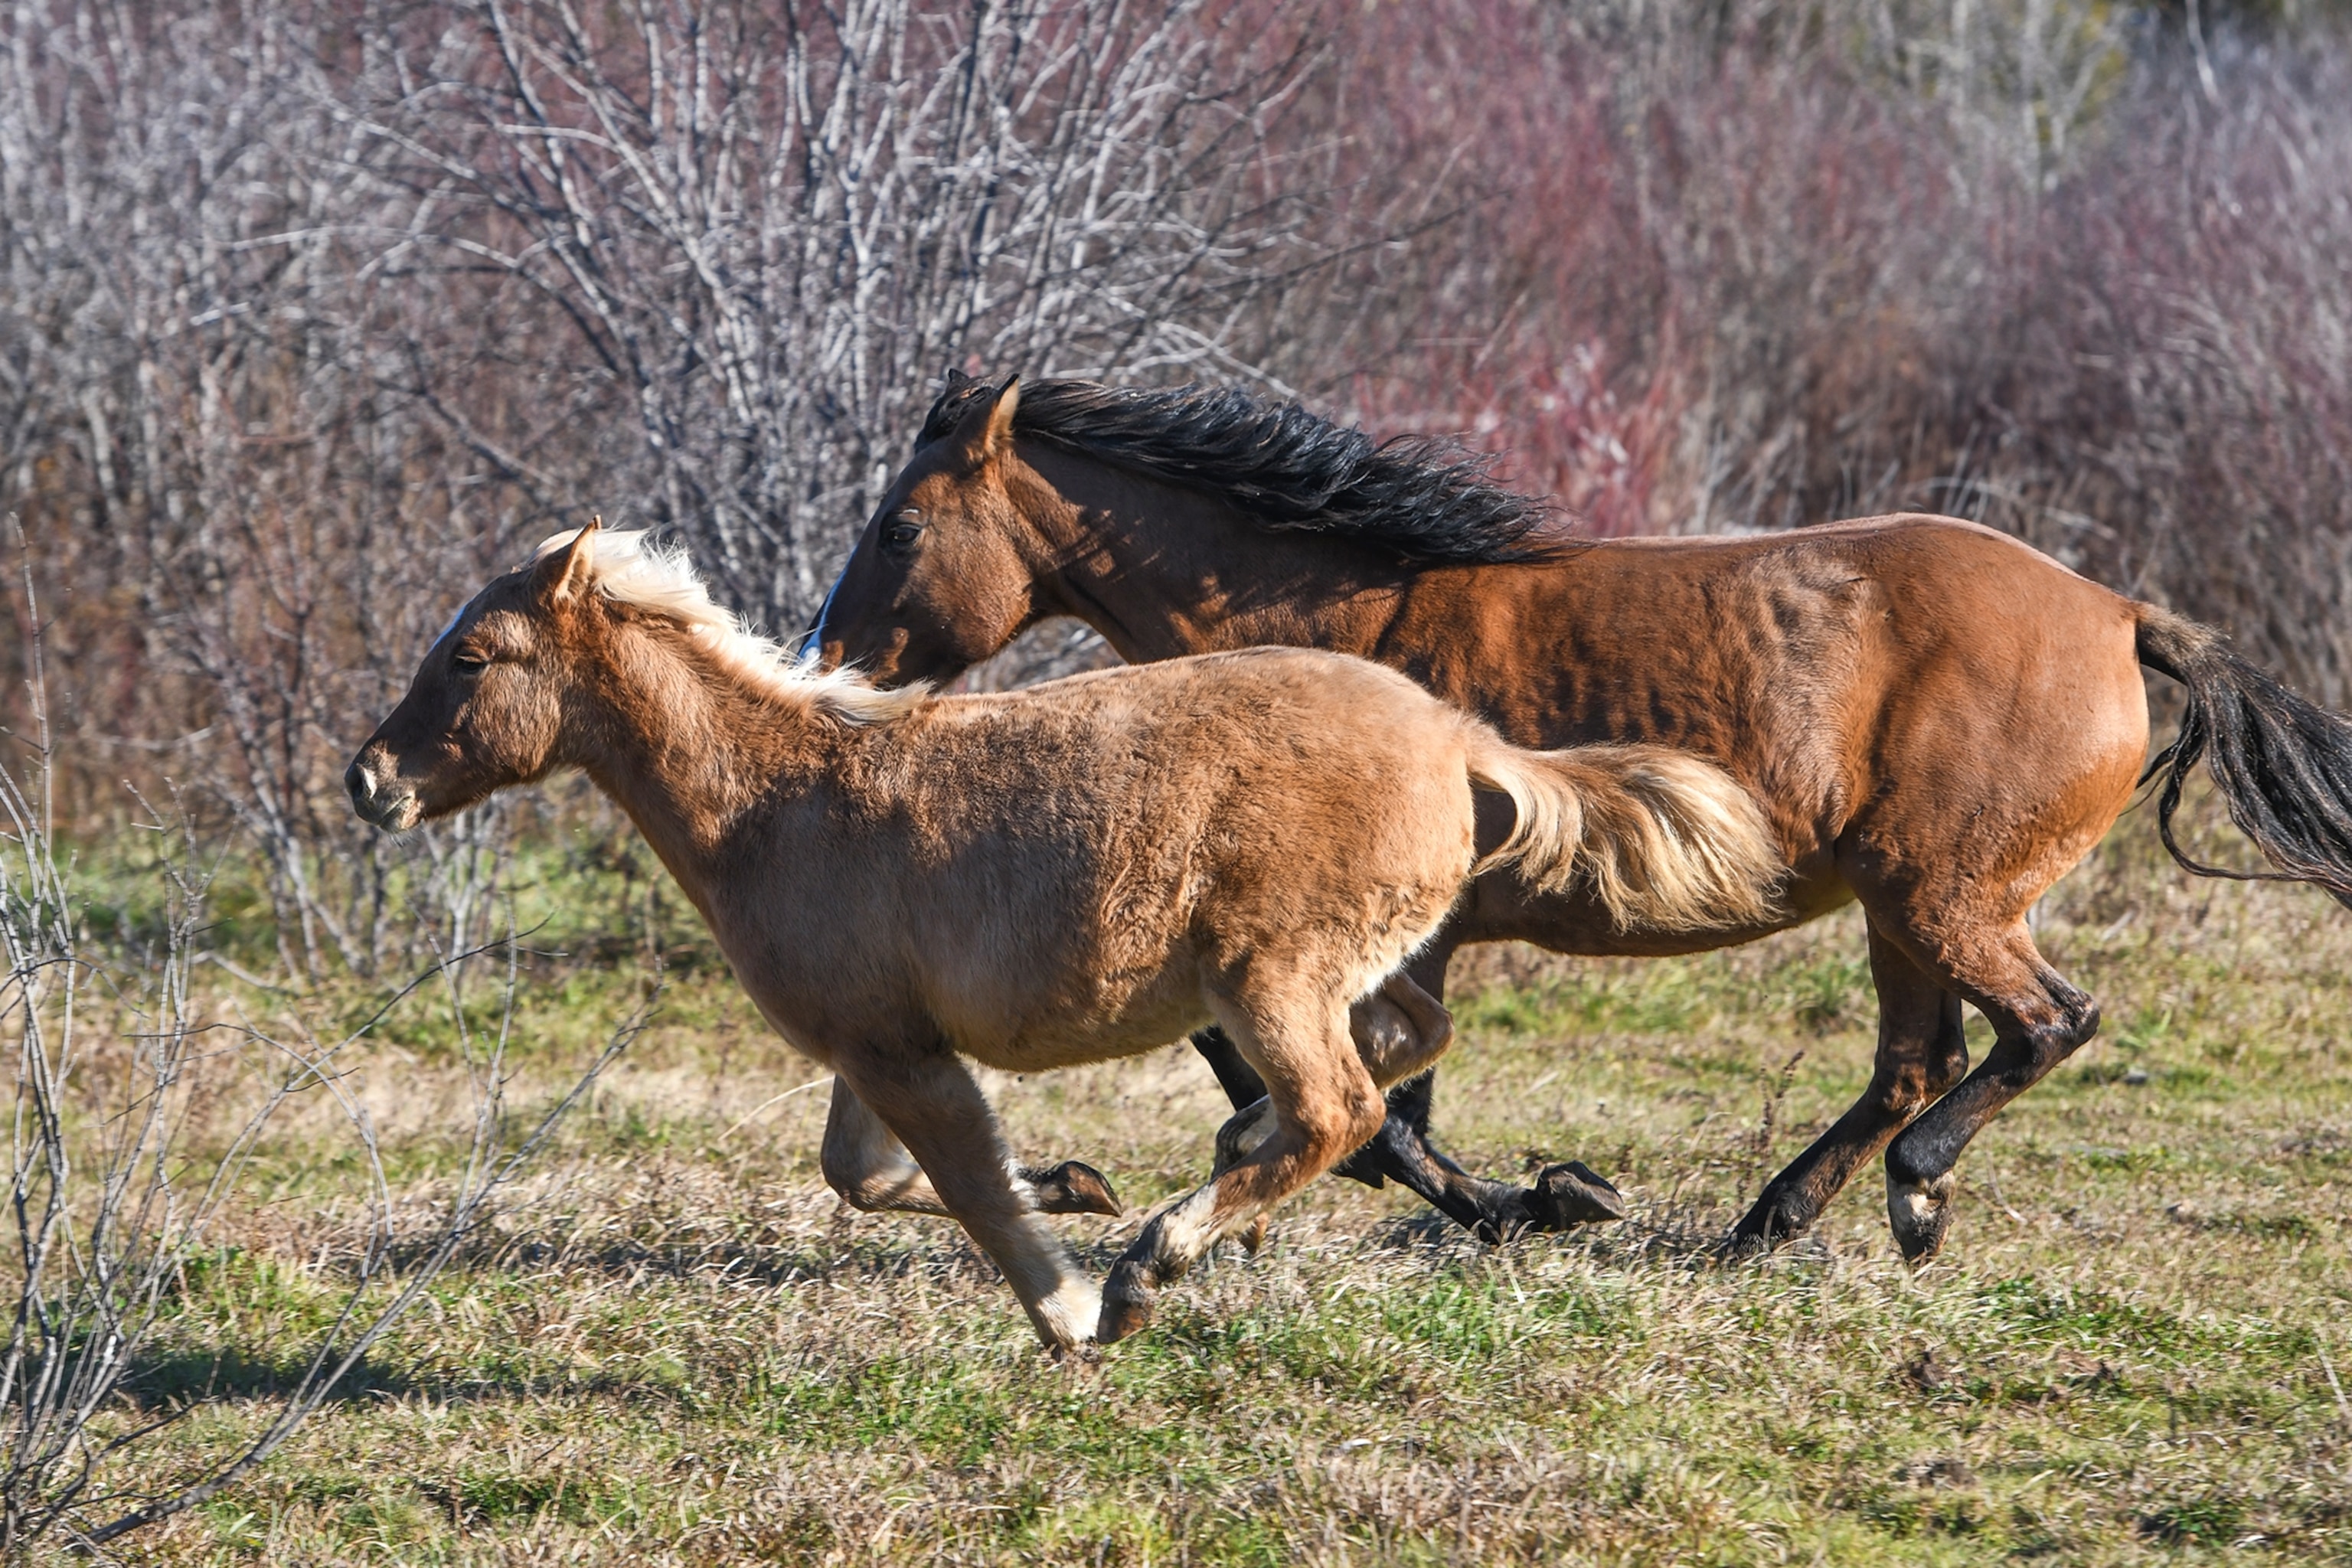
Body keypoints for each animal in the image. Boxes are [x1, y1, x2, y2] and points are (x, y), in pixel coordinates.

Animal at [346, 521, 1783, 1351]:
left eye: (470, 657)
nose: (371, 780)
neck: (782, 796)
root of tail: (1462, 742)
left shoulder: (900, 1054)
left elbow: (971, 1190)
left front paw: (1082, 1311)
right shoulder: (879, 1046)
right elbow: (868, 1177)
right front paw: (1080, 1186)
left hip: (1268, 976)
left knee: (1343, 1104)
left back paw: (1163, 1257)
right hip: (1330, 969)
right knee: (1398, 1042)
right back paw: (1231, 1167)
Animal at [809, 371, 2352, 1262]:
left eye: (898, 525)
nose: (825, 665)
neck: (1335, 629)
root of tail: (2120, 613)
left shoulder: (1373, 938)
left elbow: (1367, 1108)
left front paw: (1539, 1199)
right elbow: (1338, 1089)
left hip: (1941, 896)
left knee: (2039, 1026)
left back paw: (1904, 1195)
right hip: (1899, 907)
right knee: (1923, 1060)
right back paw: (1769, 1223)